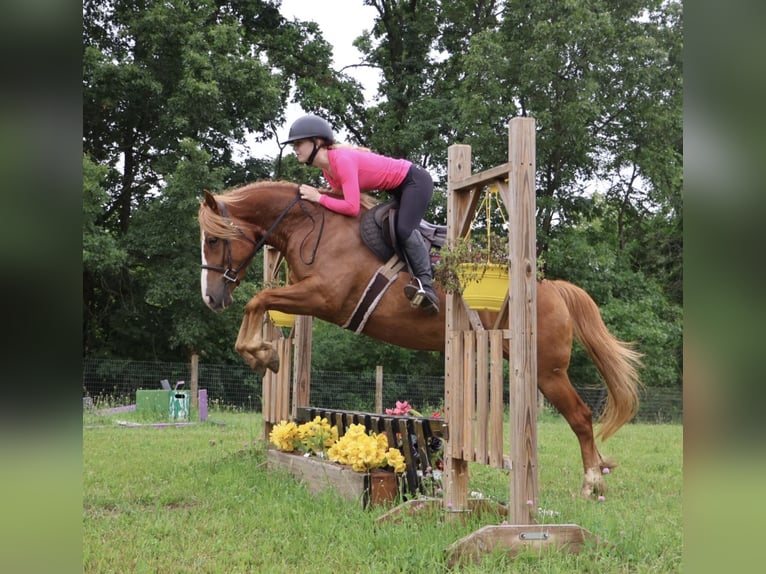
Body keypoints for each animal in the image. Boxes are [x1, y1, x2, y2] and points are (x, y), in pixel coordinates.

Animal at [198, 180, 643, 498]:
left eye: (214, 240)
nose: (211, 298)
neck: (312, 228)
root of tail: (551, 290)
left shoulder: (324, 297)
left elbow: (257, 300)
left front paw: (262, 355)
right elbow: (260, 304)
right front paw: (263, 354)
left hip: (547, 371)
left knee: (581, 416)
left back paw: (592, 482)